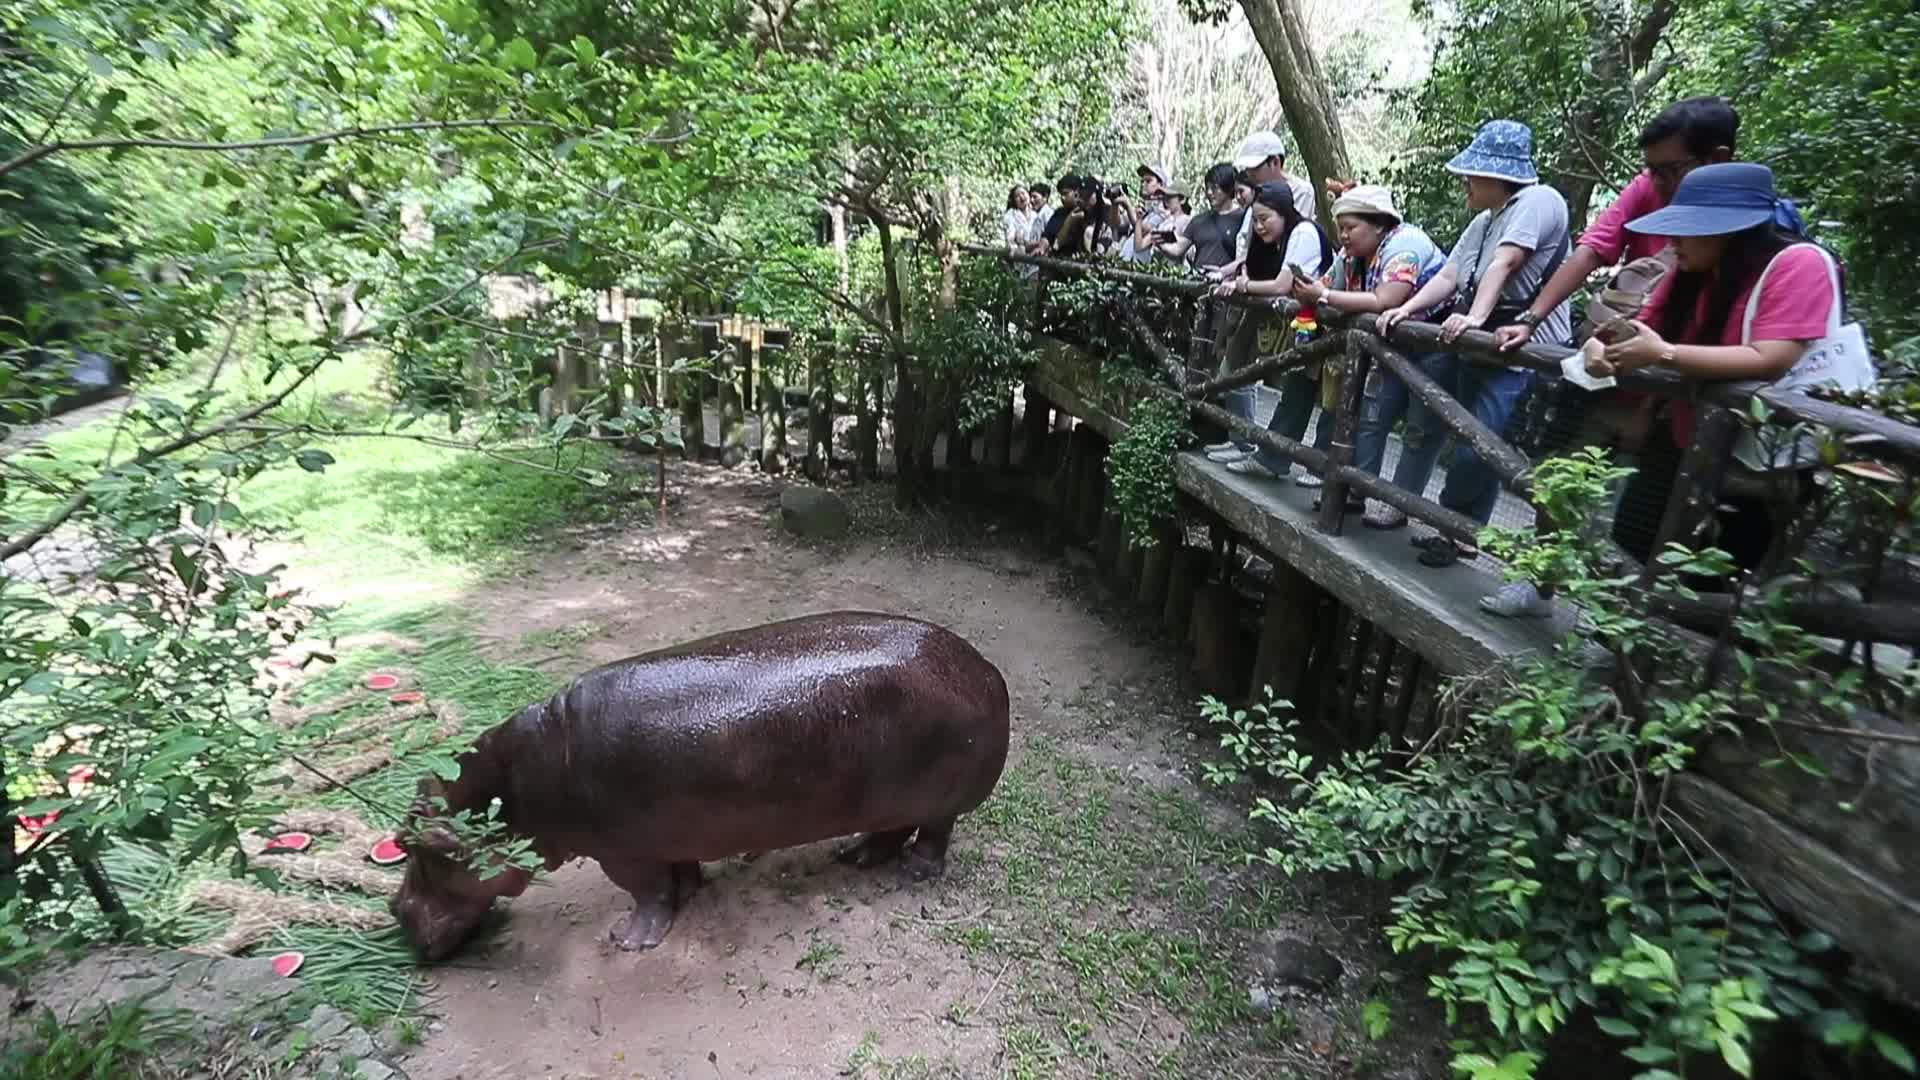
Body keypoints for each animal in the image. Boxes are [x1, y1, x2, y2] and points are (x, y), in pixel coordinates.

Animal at [389, 610, 1011, 961]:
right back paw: (852, 856)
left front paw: (627, 942)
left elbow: (645, 894)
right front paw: (690, 891)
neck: (513, 788)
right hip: (889, 796)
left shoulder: (621, 852)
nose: (395, 912)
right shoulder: (663, 831)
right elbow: (675, 874)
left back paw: (914, 873)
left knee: (934, 834)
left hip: (940, 799)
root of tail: (985, 668)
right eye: (405, 836)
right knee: (889, 830)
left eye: (426, 853)